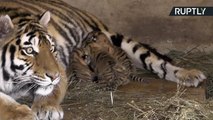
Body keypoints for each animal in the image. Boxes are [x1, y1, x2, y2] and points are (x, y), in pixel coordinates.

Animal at [0, 0, 206, 120]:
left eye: (51, 48)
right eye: (29, 50)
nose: (55, 75)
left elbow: (50, 91)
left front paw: (47, 108)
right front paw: (23, 114)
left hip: (117, 39)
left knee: (158, 62)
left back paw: (190, 75)